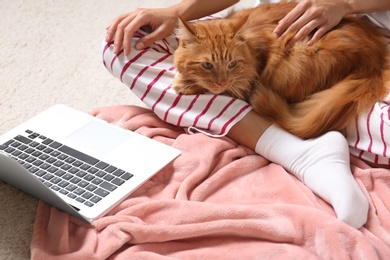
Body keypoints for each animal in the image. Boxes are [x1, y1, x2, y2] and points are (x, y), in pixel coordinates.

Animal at [172, 1, 390, 139]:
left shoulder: (248, 80)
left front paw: (184, 84)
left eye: (232, 64)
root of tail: (375, 58)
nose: (222, 81)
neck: (251, 46)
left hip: (293, 66)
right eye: (207, 65)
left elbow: (222, 88)